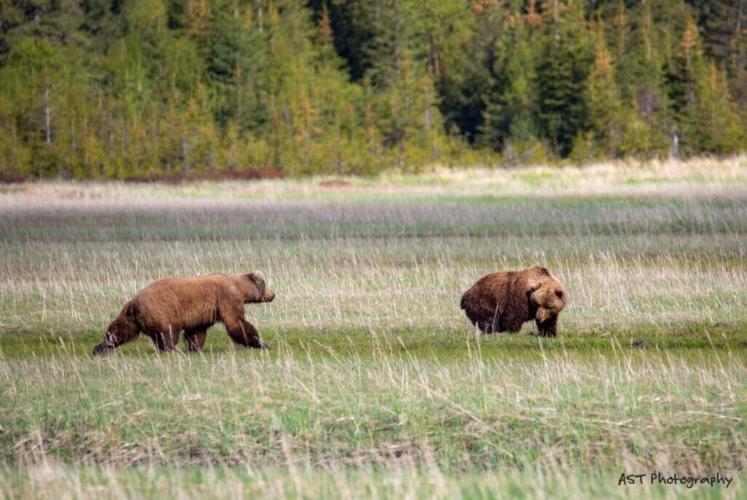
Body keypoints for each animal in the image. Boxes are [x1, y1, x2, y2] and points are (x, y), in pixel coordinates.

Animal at [92, 272, 275, 355]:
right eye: (265, 284)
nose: (273, 294)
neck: (240, 287)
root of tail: (135, 301)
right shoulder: (226, 298)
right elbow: (237, 323)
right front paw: (262, 343)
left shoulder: (204, 312)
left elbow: (197, 331)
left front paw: (194, 348)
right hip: (162, 311)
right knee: (167, 332)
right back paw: (172, 349)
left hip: (131, 315)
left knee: (121, 329)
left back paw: (101, 347)